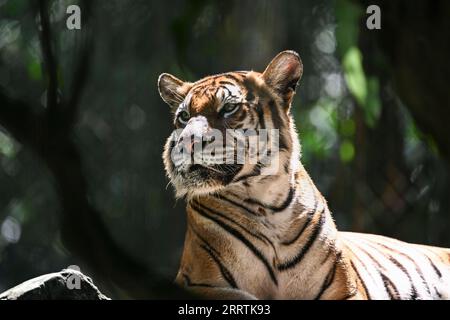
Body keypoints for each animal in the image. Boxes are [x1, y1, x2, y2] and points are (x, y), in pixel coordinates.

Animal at [157, 50, 450, 300]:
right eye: (184, 116)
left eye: (228, 108)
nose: (186, 141)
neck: (264, 203)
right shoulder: (198, 282)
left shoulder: (345, 289)